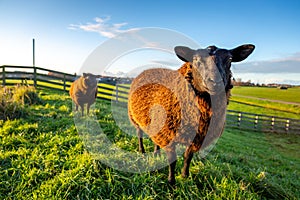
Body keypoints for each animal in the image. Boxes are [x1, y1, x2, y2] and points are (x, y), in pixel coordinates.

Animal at [127, 43, 254, 184]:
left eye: (230, 59)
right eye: (196, 59)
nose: (215, 82)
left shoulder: (197, 138)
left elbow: (188, 157)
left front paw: (184, 176)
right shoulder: (169, 134)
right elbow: (172, 160)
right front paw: (171, 182)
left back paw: (156, 154)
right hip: (135, 117)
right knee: (139, 134)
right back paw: (142, 150)